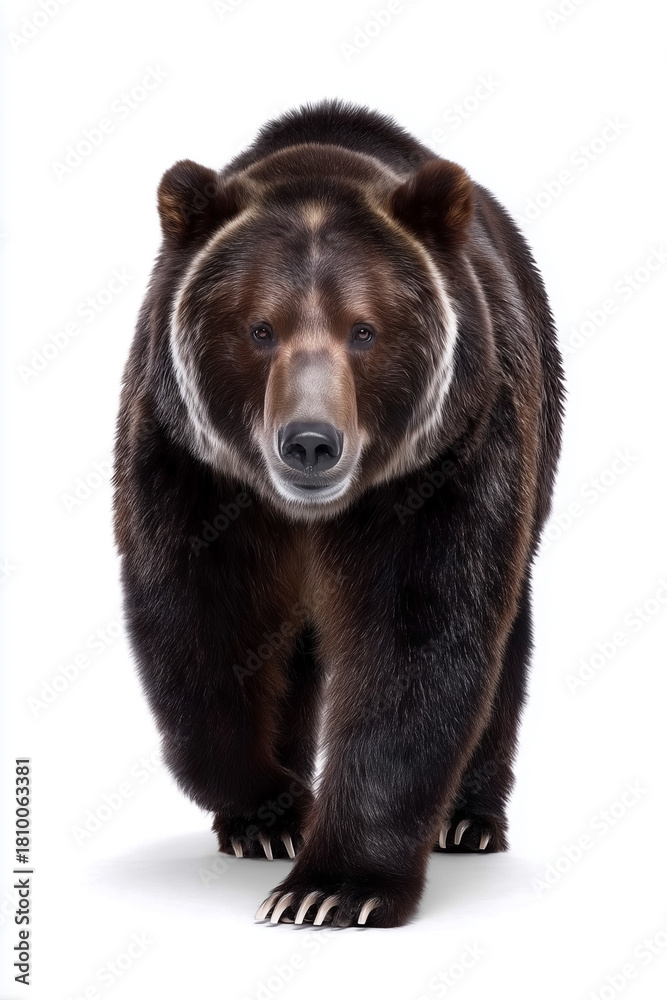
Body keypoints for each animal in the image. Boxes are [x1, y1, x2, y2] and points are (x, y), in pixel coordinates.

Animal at [113, 98, 564, 928]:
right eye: (259, 328)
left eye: (365, 329)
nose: (310, 442)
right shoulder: (191, 467)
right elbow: (201, 632)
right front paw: (269, 811)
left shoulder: (440, 464)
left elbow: (415, 640)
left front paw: (331, 887)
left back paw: (467, 818)